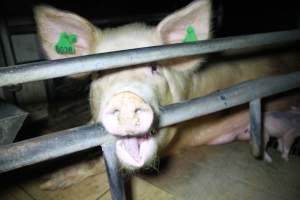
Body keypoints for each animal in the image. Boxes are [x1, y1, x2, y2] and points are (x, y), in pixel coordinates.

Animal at [34, 0, 300, 190]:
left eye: (155, 67)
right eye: (99, 72)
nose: (127, 97)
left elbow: (102, 162)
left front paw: (49, 183)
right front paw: (49, 180)